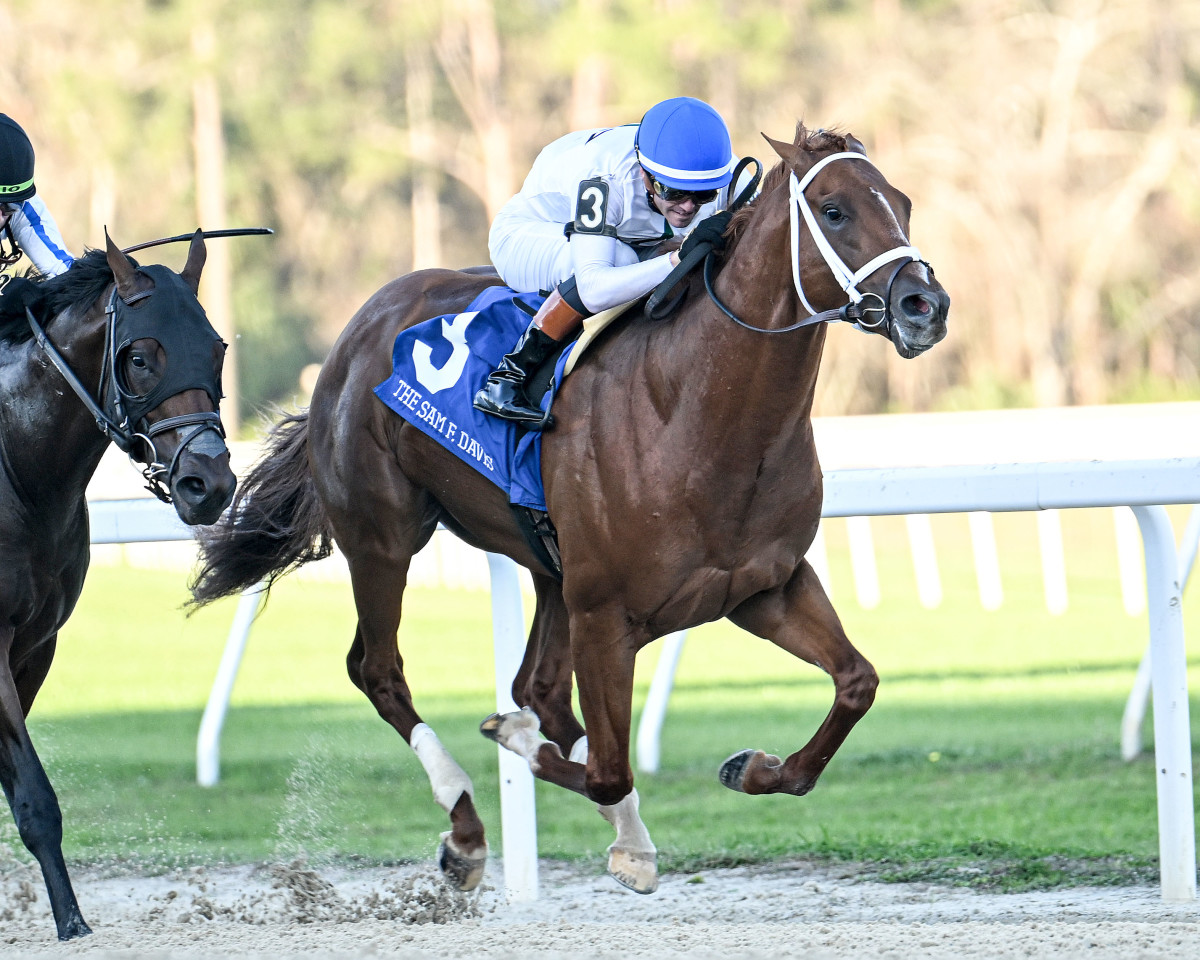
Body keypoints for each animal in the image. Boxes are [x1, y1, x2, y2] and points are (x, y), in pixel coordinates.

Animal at [0, 232, 236, 936]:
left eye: (216, 349)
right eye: (139, 357)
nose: (209, 485)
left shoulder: (36, 645)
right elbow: (35, 796)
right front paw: (72, 921)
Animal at [189, 123, 945, 897]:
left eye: (904, 204)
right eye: (834, 210)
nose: (925, 305)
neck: (699, 415)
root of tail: (359, 325)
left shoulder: (765, 588)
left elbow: (856, 684)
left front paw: (755, 767)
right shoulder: (607, 617)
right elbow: (609, 769)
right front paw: (515, 741)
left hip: (548, 565)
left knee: (539, 688)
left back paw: (620, 835)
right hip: (382, 538)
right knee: (380, 670)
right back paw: (467, 830)